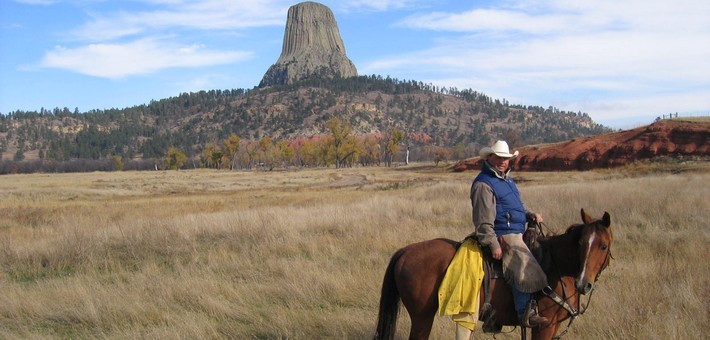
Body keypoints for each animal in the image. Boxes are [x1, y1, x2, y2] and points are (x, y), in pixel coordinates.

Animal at [376, 210, 616, 340]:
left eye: (603, 246)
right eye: (581, 244)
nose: (583, 283)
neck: (556, 266)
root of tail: (405, 251)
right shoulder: (544, 326)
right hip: (422, 317)